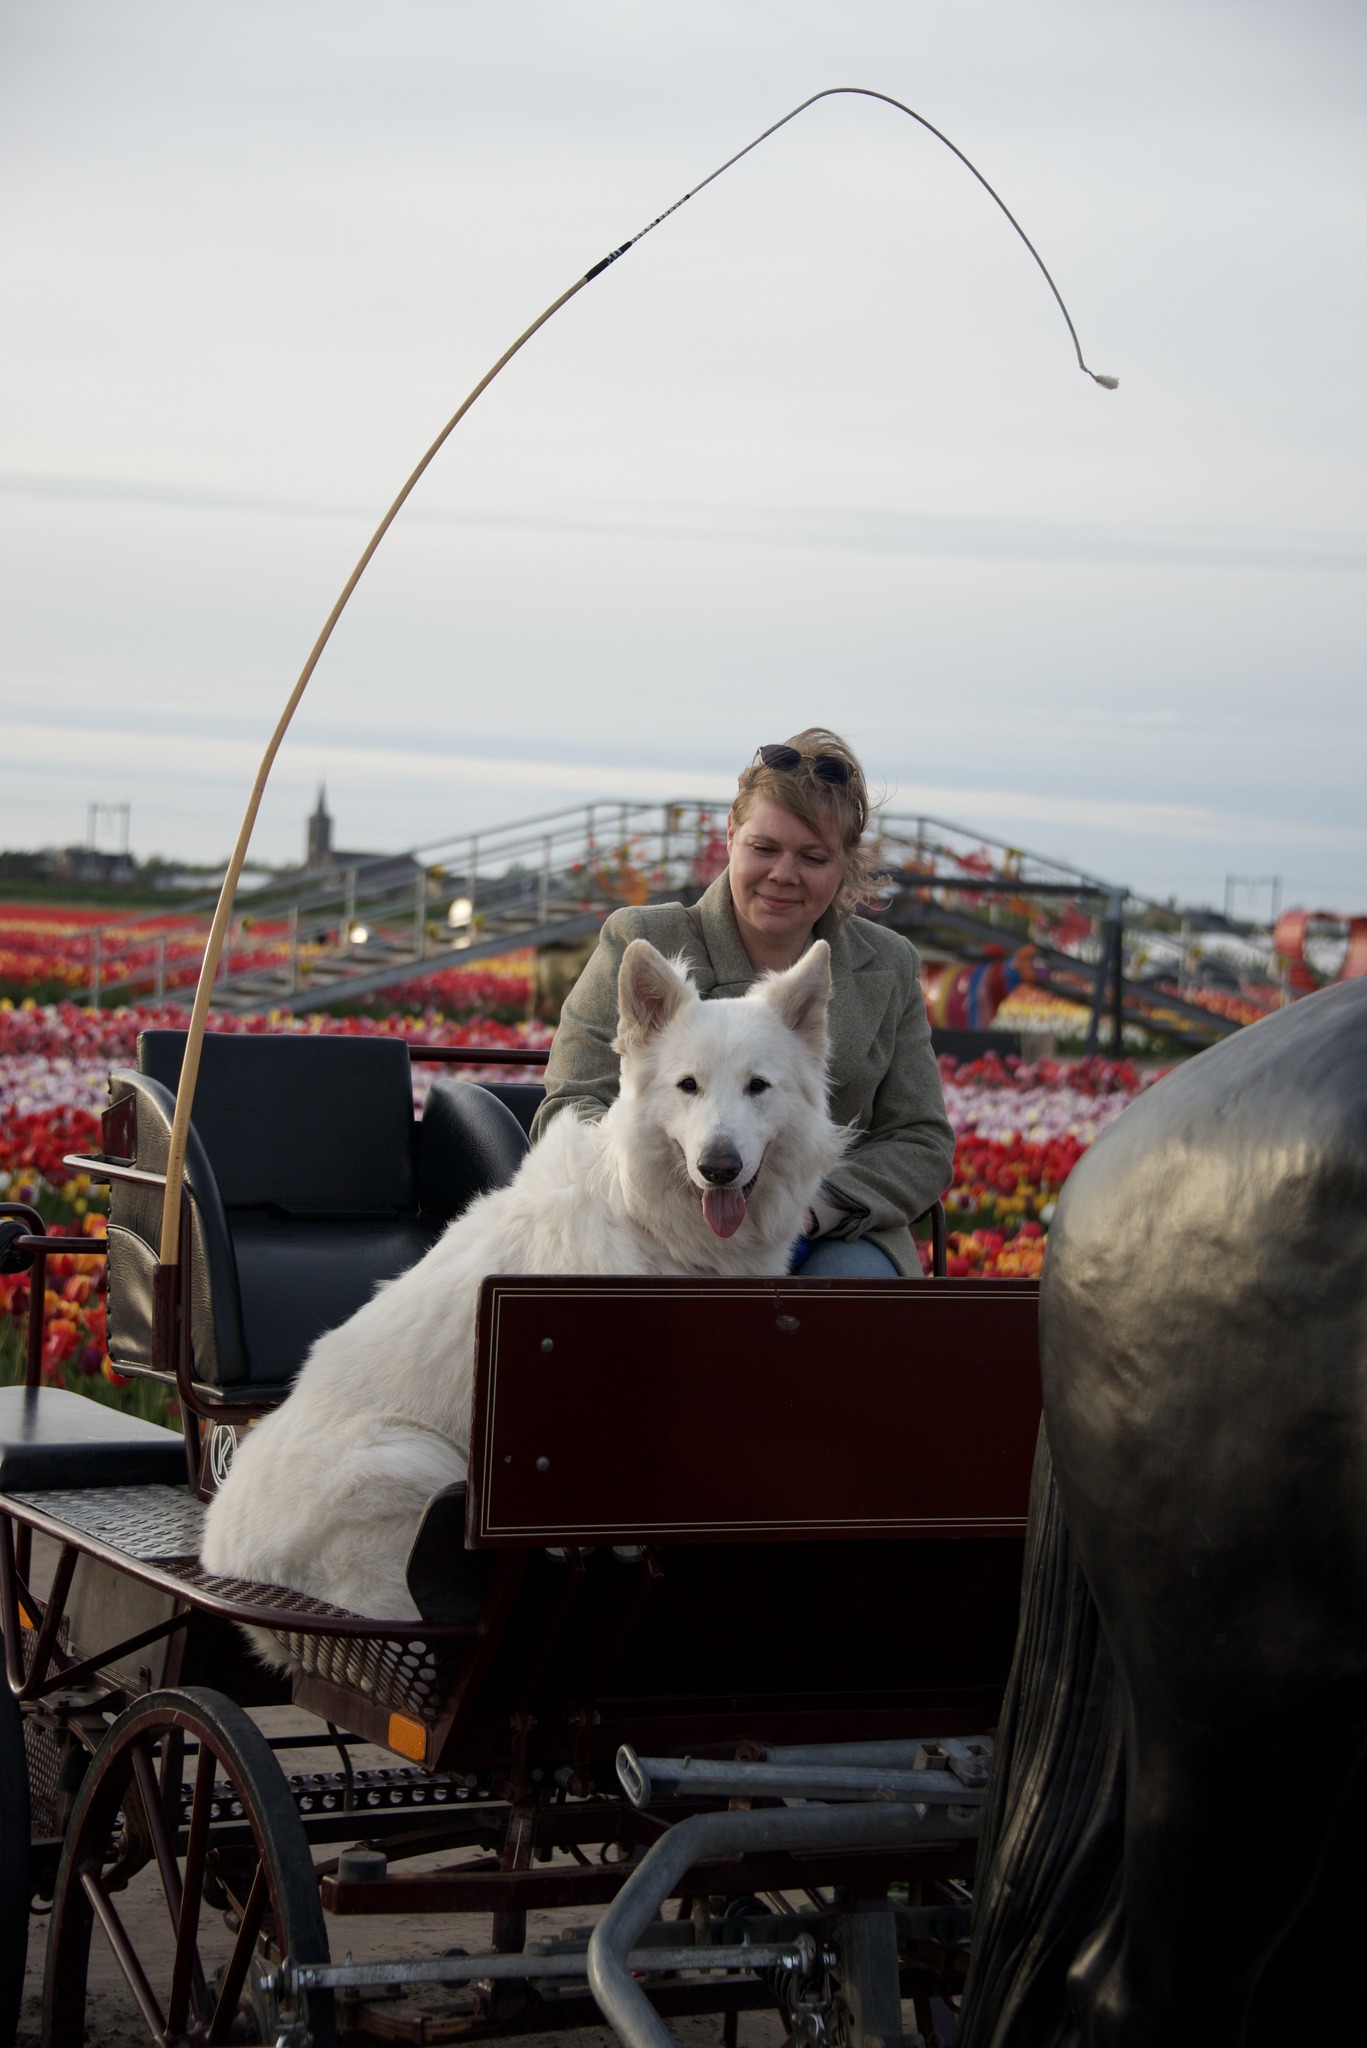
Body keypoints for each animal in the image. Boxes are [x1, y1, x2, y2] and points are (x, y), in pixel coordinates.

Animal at [201, 942, 844, 1630]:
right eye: (688, 1085)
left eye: (757, 1087)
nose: (718, 1167)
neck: (648, 1223)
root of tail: (216, 1551)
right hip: (408, 1456)